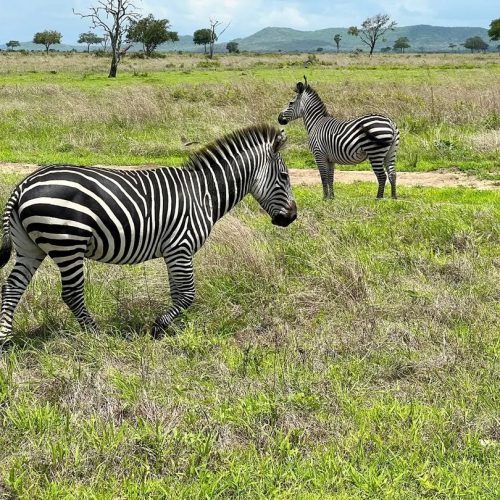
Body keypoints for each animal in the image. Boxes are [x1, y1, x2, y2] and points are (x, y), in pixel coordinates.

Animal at [0, 124, 296, 344]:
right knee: (71, 294)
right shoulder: (181, 246)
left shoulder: (174, 251)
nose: (292, 217)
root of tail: (23, 185)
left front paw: (169, 329)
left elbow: (177, 292)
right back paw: (96, 335)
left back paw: (6, 340)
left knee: (12, 288)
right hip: (68, 244)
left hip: (30, 247)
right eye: (284, 176)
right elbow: (187, 294)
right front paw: (157, 328)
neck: (204, 194)